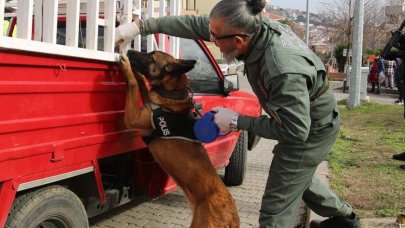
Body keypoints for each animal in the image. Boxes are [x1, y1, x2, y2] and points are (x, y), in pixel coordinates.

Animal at [119, 50, 240, 228]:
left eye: (151, 56)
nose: (130, 51)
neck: (171, 94)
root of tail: (232, 218)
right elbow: (144, 88)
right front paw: (139, 75)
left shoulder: (133, 118)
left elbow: (134, 86)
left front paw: (128, 68)